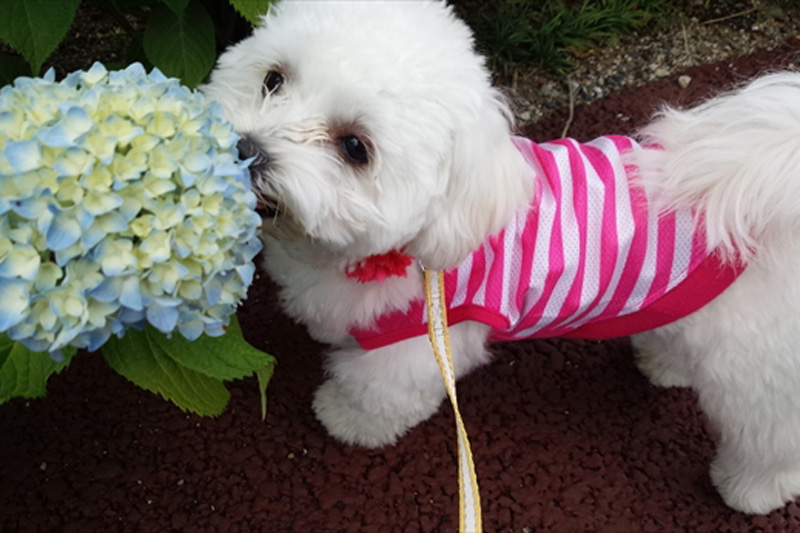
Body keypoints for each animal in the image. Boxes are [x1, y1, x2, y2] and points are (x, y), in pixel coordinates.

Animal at [205, 1, 800, 516]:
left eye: (355, 147)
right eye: (273, 79)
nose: (245, 149)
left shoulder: (417, 349)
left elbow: (375, 395)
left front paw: (343, 418)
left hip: (755, 373)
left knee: (770, 436)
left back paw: (752, 491)